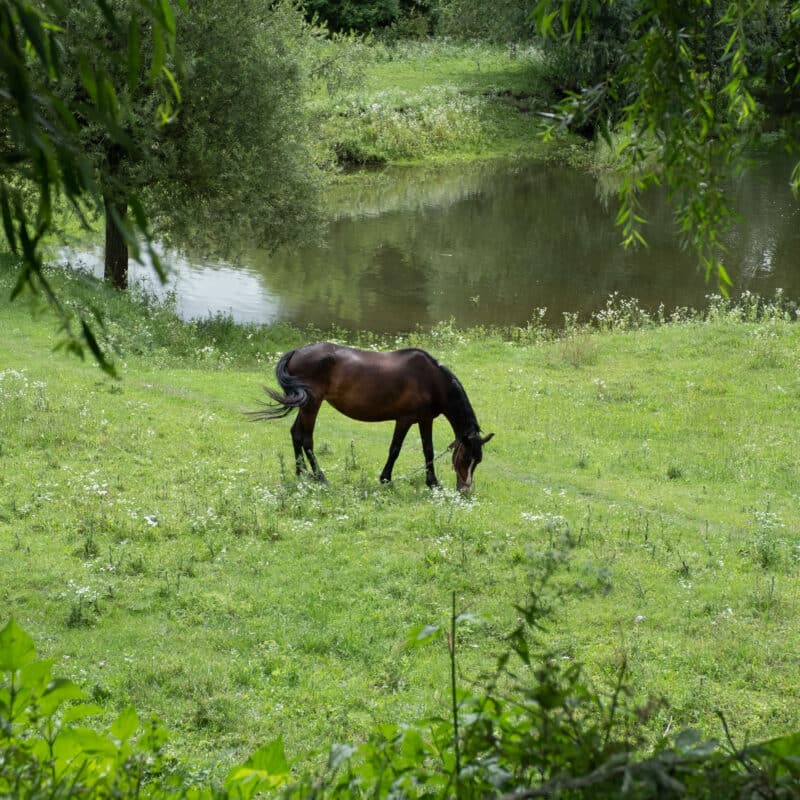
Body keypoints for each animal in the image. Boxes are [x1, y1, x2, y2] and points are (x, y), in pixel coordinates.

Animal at [248, 342, 494, 493]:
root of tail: (297, 351)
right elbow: (395, 449)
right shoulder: (405, 419)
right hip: (312, 404)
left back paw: (301, 474)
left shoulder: (425, 420)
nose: (464, 490)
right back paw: (320, 477)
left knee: (296, 434)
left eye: (478, 461)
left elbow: (428, 451)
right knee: (306, 438)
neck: (431, 380)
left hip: (306, 404)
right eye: (465, 458)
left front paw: (432, 483)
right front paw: (386, 479)